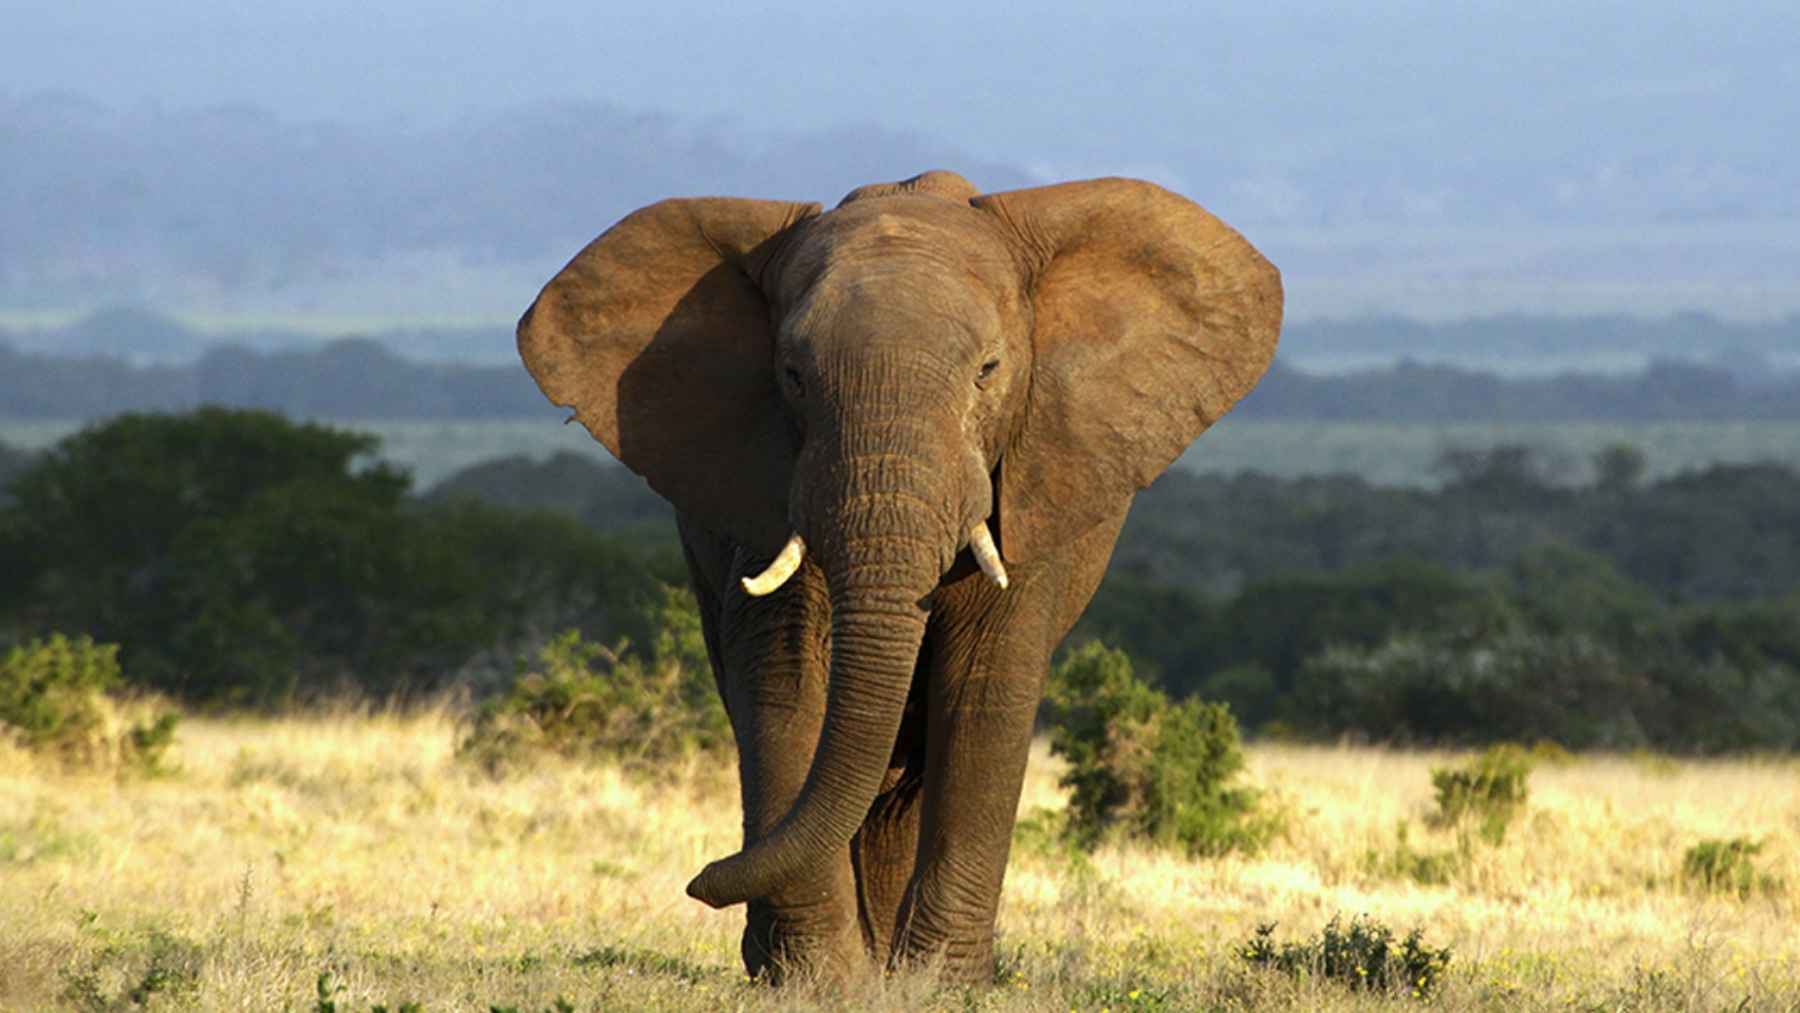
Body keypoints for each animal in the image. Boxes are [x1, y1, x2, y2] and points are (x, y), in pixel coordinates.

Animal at [516, 170, 1281, 983]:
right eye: (792, 375)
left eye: (988, 372)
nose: (701, 879)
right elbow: (784, 675)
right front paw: (818, 978)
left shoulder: (1031, 477)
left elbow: (985, 686)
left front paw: (938, 980)